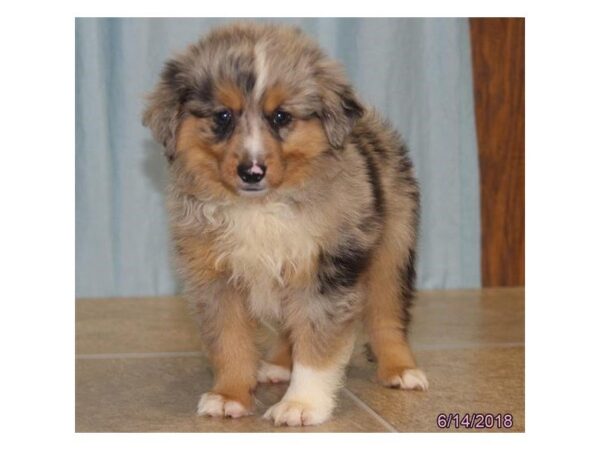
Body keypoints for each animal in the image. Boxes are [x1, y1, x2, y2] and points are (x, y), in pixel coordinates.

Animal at [144, 22, 428, 428]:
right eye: (222, 117)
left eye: (281, 117)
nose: (251, 171)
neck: (258, 207)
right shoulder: (214, 277)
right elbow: (229, 341)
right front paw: (229, 396)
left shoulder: (325, 271)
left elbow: (316, 345)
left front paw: (301, 405)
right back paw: (278, 365)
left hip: (393, 247)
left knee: (388, 315)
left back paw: (401, 370)